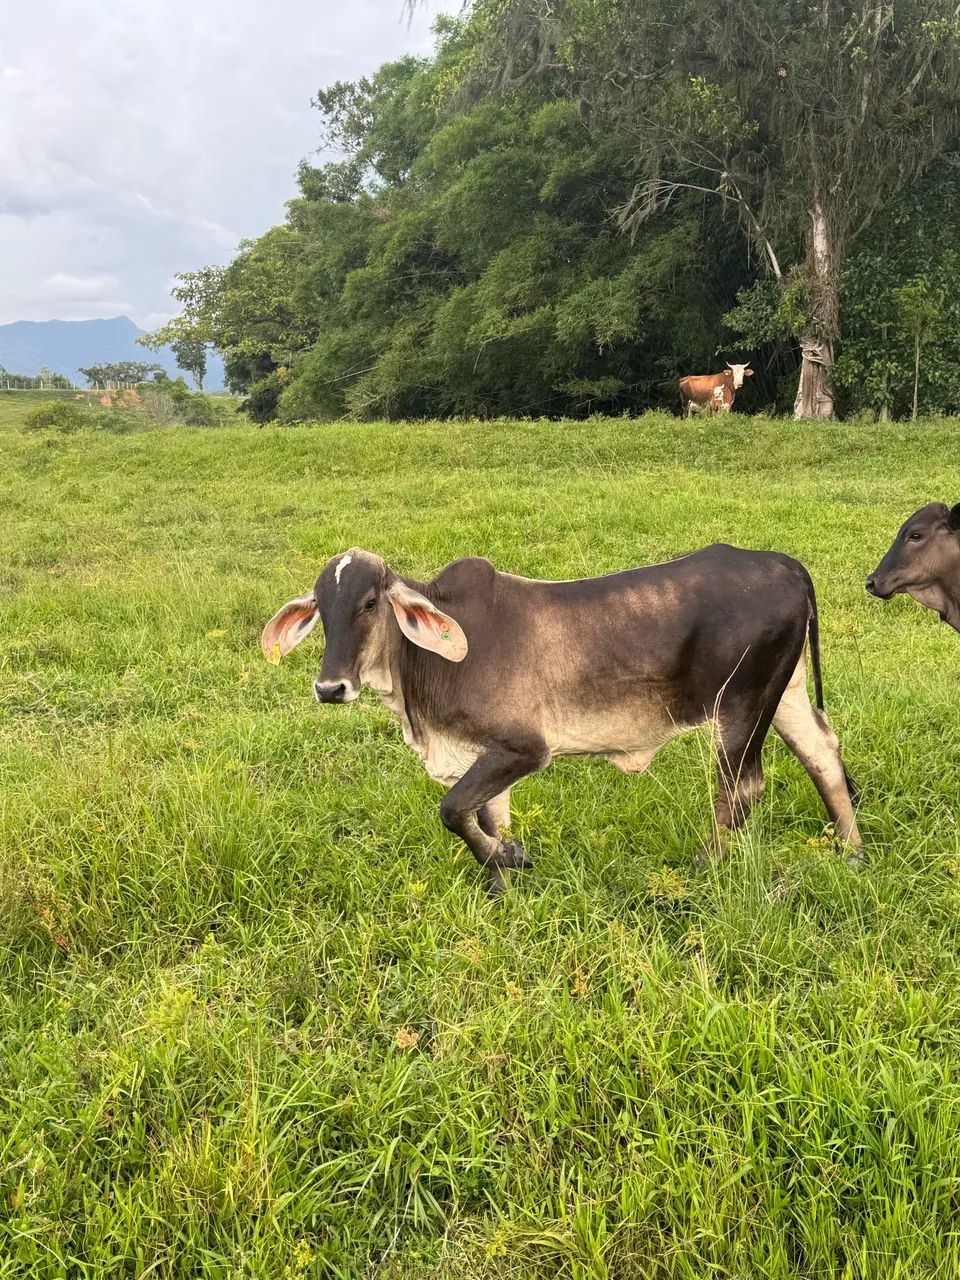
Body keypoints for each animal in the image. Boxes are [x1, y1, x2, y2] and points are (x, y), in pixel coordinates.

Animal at [262, 546, 861, 896]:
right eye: (321, 609)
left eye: (368, 603)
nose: (330, 688)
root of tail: (784, 564)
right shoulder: (482, 755)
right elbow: (486, 818)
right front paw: (503, 881)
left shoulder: (524, 749)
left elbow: (453, 810)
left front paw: (508, 860)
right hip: (782, 694)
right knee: (822, 754)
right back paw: (852, 851)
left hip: (741, 704)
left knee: (741, 787)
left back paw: (702, 870)